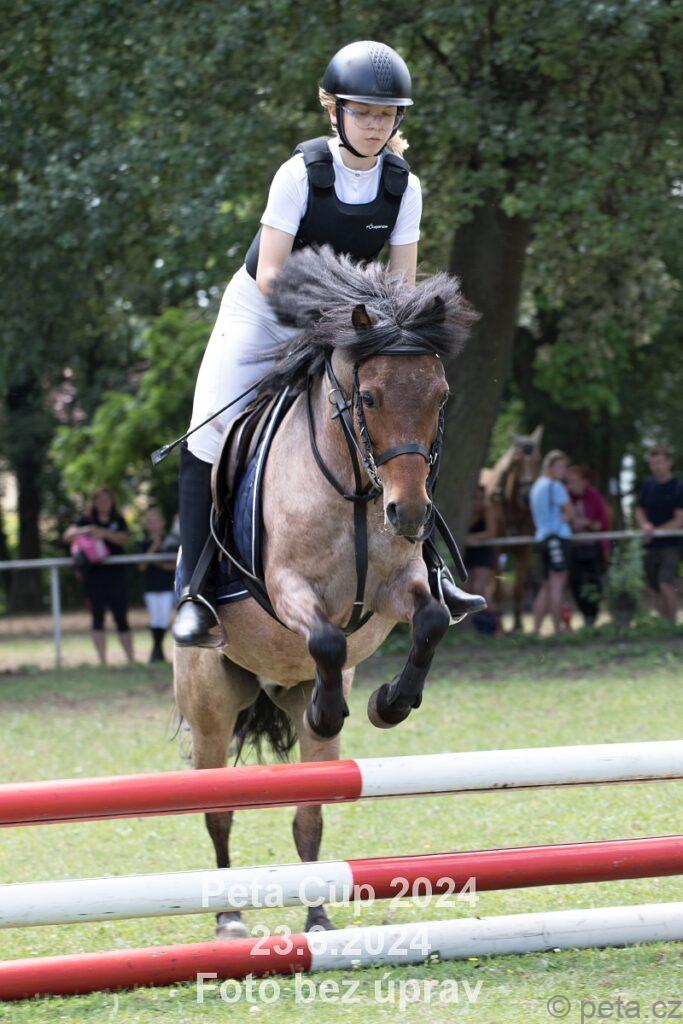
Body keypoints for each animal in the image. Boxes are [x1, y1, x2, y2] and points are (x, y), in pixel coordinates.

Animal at [174, 246, 477, 939]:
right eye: (367, 396)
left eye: (441, 396)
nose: (410, 515)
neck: (360, 488)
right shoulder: (289, 589)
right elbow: (327, 639)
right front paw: (334, 705)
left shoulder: (399, 586)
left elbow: (430, 622)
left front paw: (389, 704)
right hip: (210, 707)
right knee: (217, 811)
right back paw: (228, 916)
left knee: (307, 815)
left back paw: (317, 916)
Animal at [481, 426, 543, 630]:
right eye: (516, 461)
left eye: (538, 458)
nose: (526, 495)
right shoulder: (495, 549)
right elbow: (498, 590)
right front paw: (499, 620)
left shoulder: (525, 548)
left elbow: (518, 588)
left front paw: (518, 623)